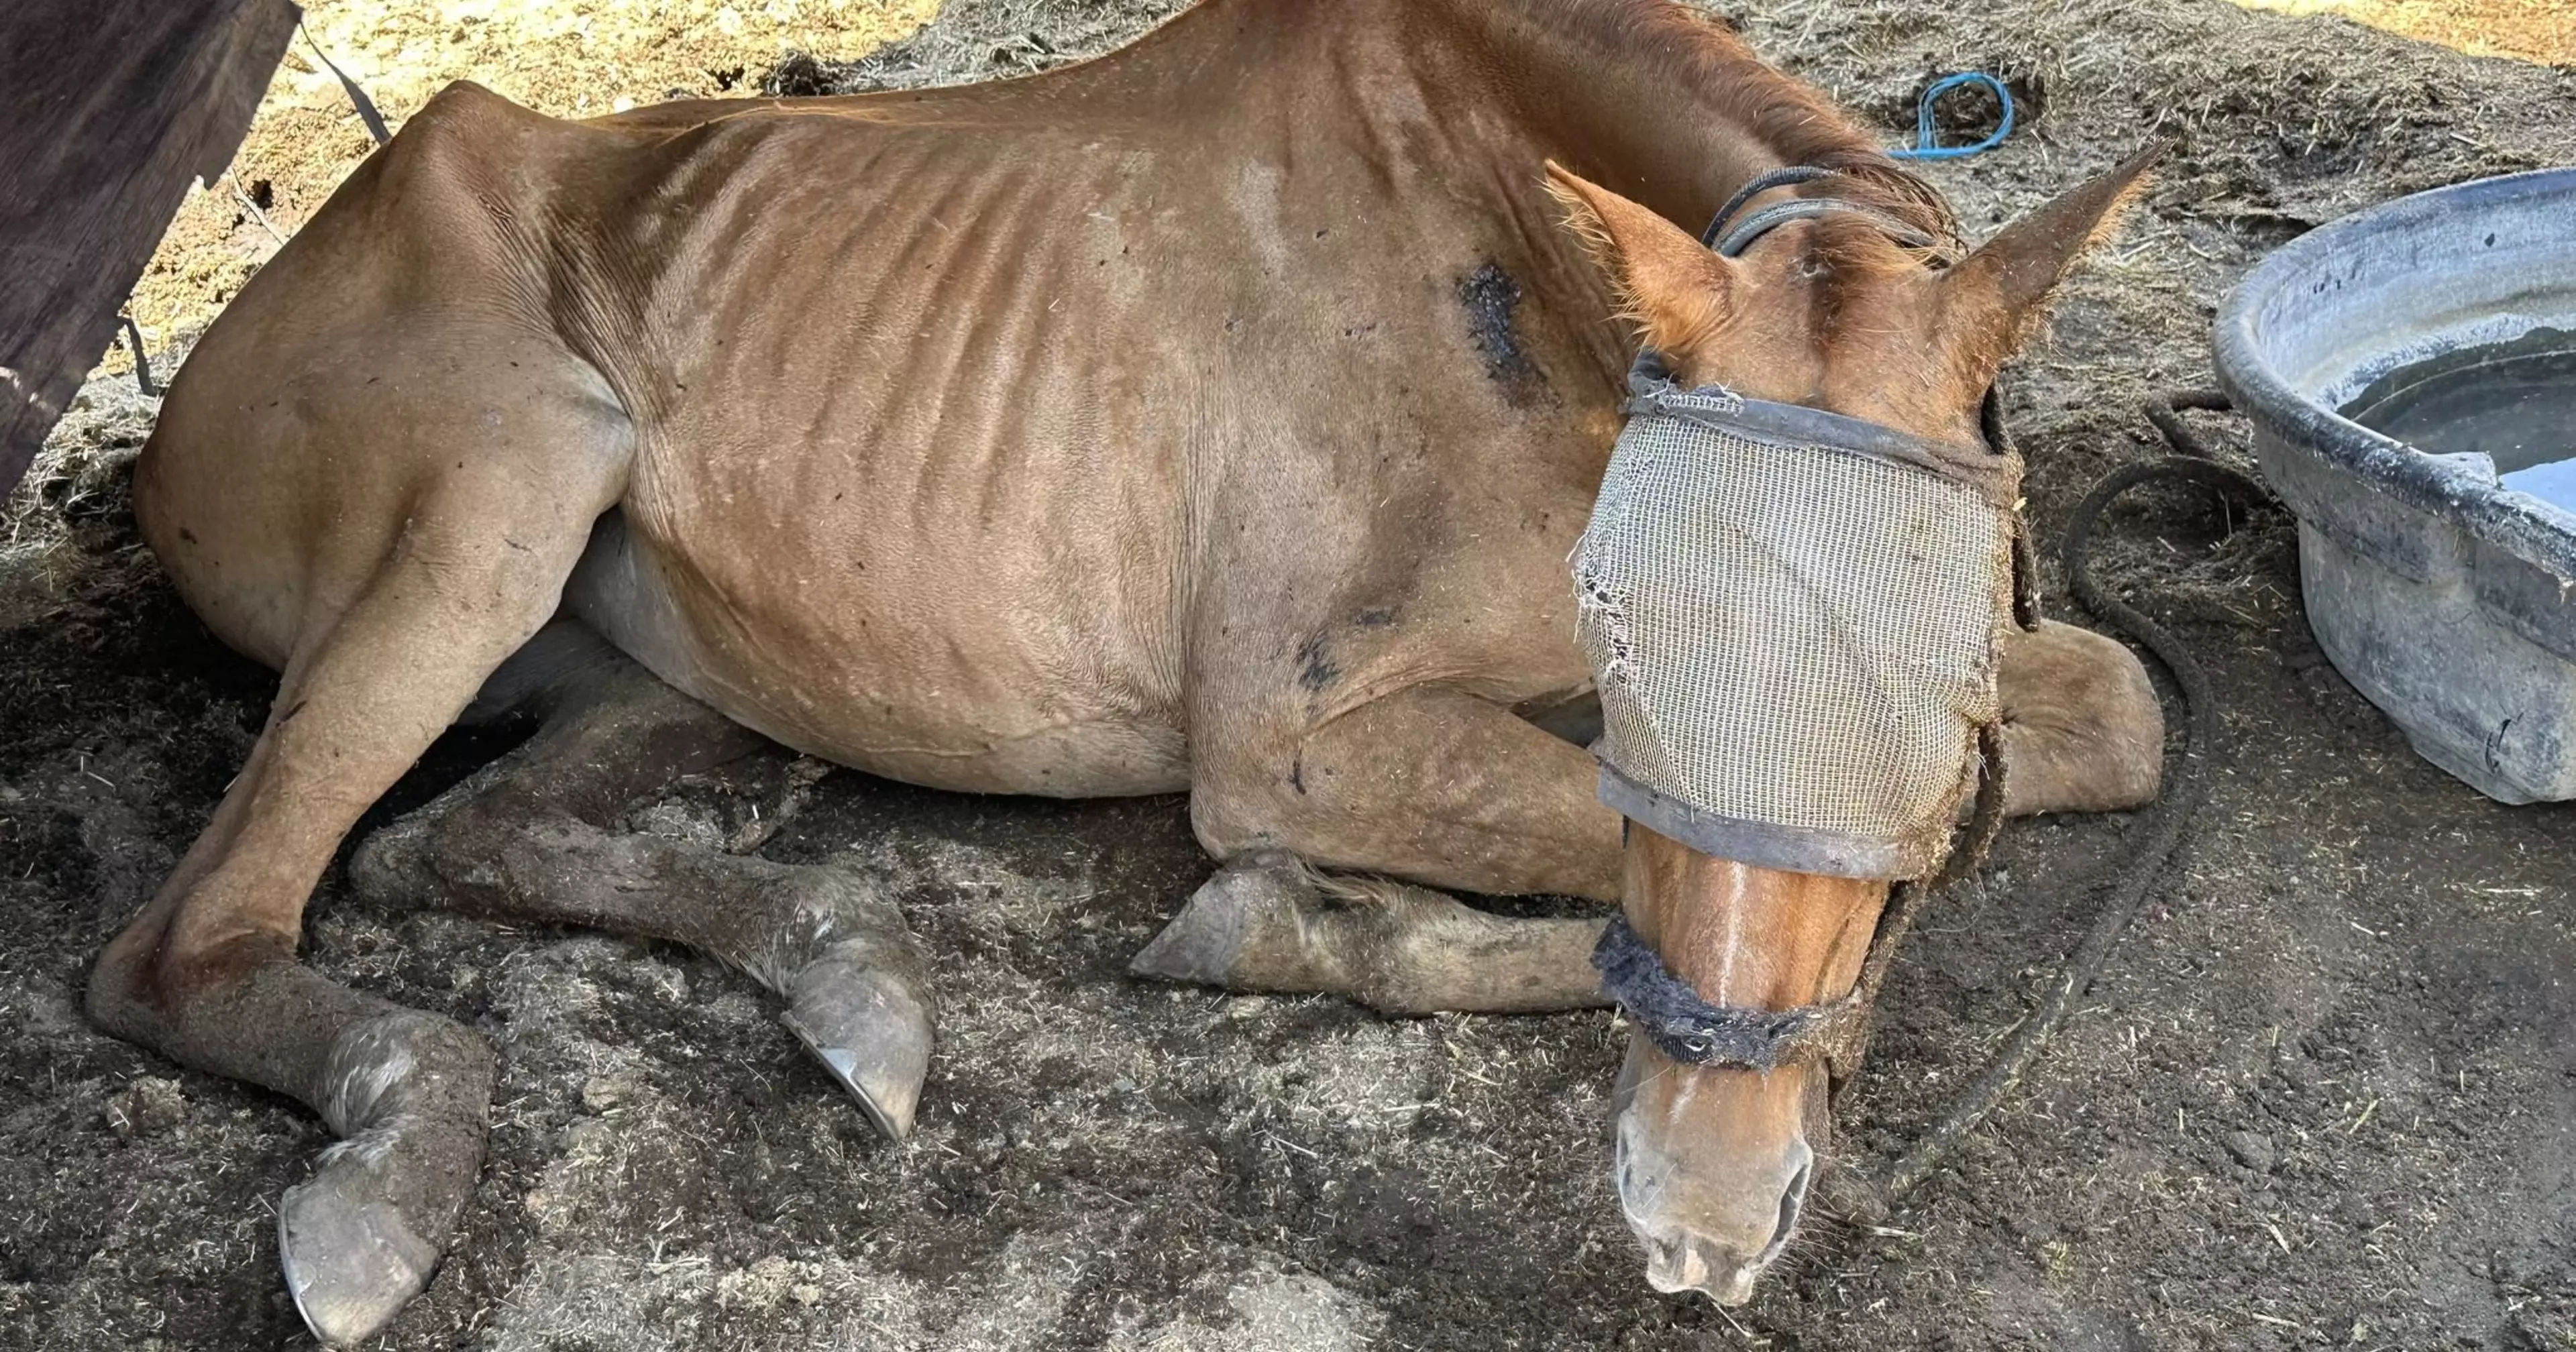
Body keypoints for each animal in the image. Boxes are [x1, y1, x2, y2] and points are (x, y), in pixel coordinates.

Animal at [94, 0, 2164, 1339]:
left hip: (642, 666)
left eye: (1936, 696)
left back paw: (846, 978)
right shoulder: (1282, 742)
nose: (1702, 1221)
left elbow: (2117, 725)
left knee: (449, 844)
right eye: (1635, 645)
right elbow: (1565, 856)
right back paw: (391, 1165)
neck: (1513, 259)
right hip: (501, 491)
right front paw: (1293, 924)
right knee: (191, 944)